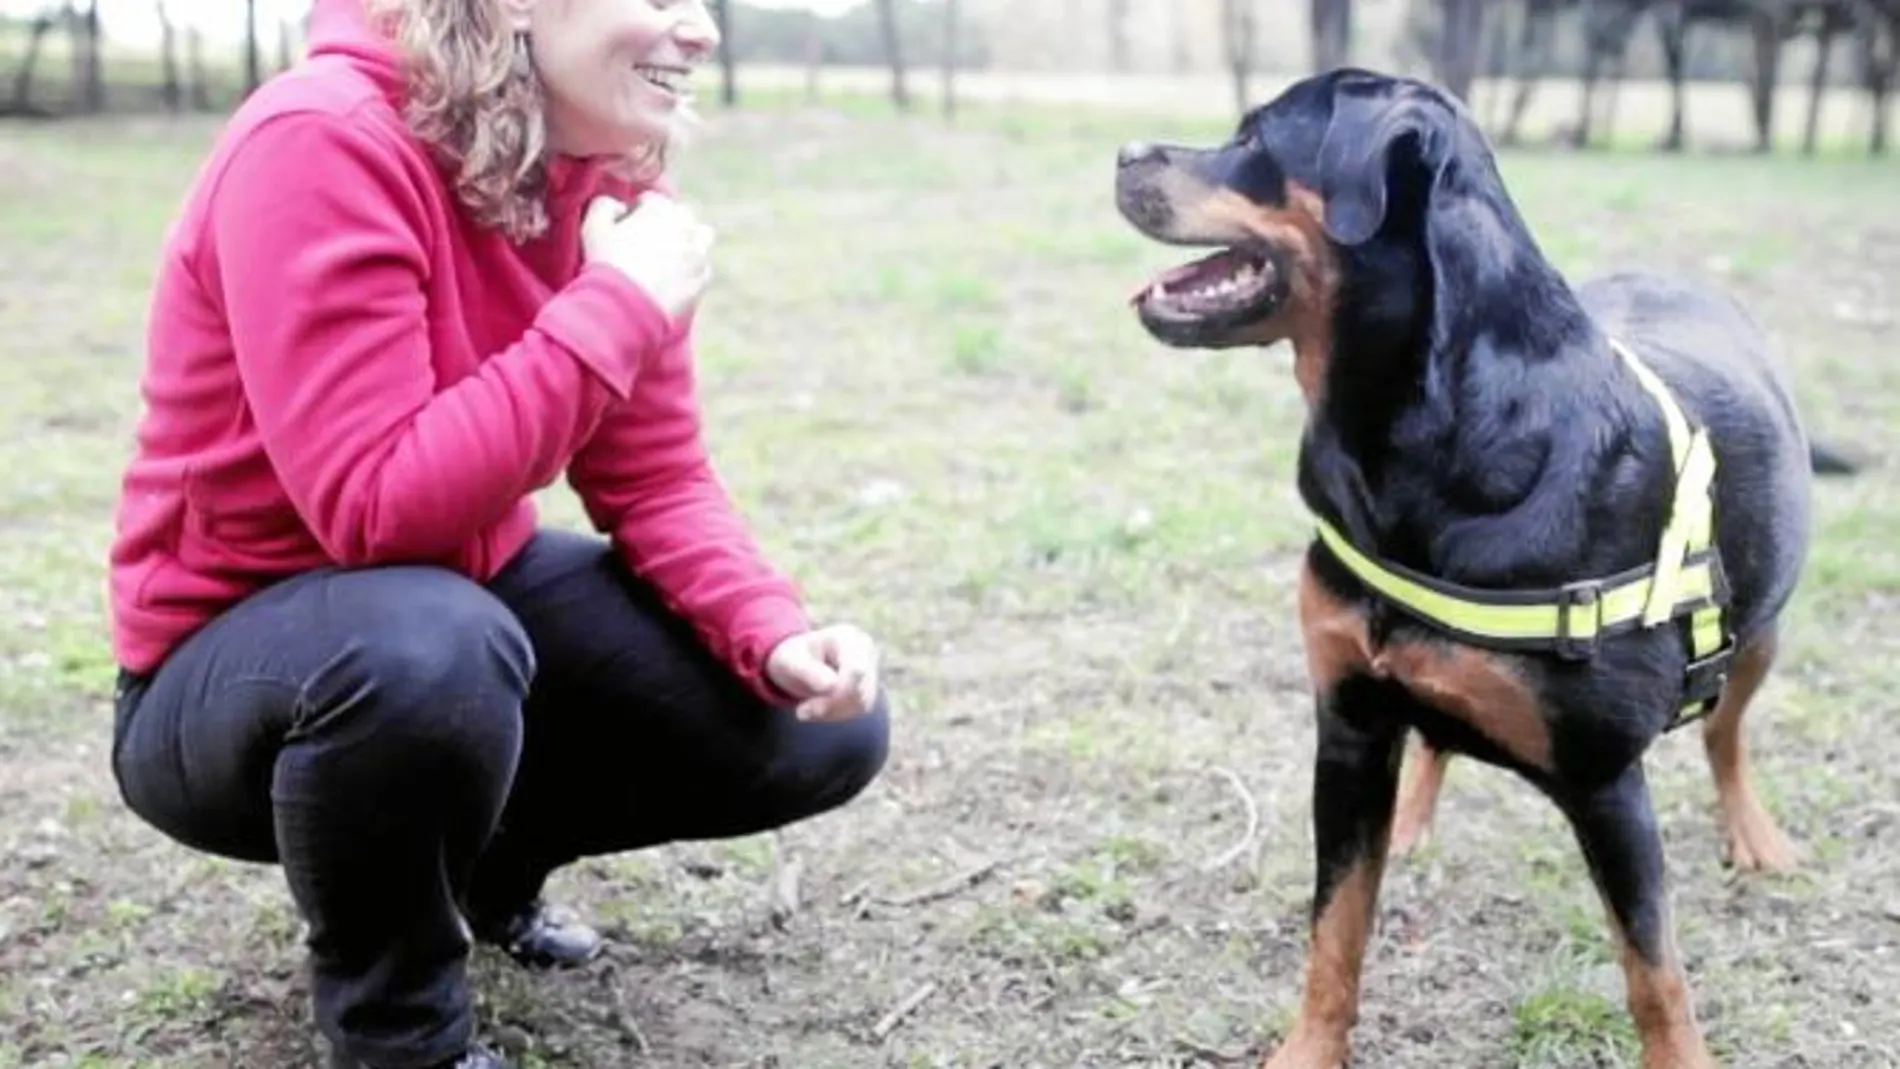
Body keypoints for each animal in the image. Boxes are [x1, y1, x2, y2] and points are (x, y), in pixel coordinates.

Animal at [1109, 68, 1854, 1069]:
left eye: (1255, 139)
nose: (1123, 152)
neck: (1413, 439)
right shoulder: (1349, 729)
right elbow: (1335, 926)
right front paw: (1310, 1045)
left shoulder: (1607, 782)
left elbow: (1654, 973)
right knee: (1435, 740)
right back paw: (1415, 817)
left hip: (1761, 634)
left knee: (1725, 731)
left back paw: (1755, 832)